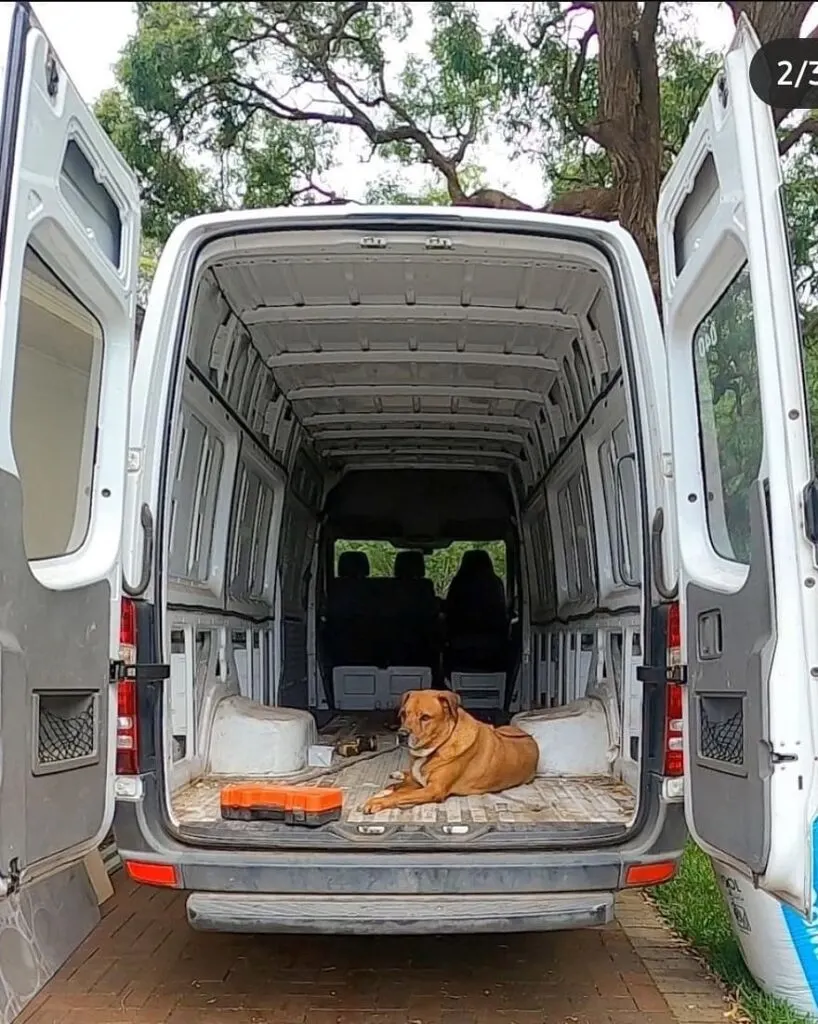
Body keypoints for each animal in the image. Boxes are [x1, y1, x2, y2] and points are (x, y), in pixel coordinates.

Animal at [362, 688, 540, 815]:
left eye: (425, 717)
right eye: (404, 714)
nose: (402, 734)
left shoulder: (433, 790)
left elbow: (400, 795)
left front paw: (377, 801)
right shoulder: (416, 782)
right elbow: (395, 787)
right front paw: (382, 792)